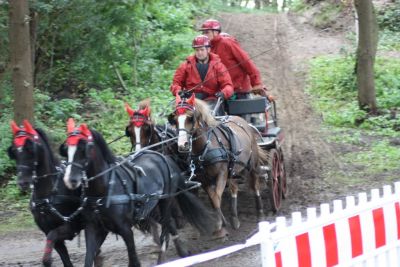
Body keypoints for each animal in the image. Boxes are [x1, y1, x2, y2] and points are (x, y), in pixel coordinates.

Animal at [7, 120, 84, 266]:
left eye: (30, 148)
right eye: (13, 151)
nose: (23, 182)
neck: (47, 197)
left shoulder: (70, 227)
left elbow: (52, 237)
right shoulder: (47, 230)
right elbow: (63, 258)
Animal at [60, 120, 216, 267]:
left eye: (83, 149)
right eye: (66, 150)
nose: (70, 179)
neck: (104, 190)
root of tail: (162, 157)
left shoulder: (125, 229)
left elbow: (134, 260)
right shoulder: (93, 229)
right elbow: (88, 259)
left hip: (165, 201)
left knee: (166, 229)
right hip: (152, 208)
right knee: (169, 224)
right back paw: (182, 252)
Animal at [170, 95, 268, 238]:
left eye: (190, 118)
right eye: (175, 120)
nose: (182, 145)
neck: (205, 147)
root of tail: (242, 121)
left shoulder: (221, 174)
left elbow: (217, 196)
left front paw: (219, 226)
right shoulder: (204, 180)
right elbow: (213, 199)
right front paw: (222, 224)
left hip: (252, 165)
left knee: (255, 185)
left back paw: (260, 214)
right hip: (232, 169)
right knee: (234, 188)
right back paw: (234, 218)